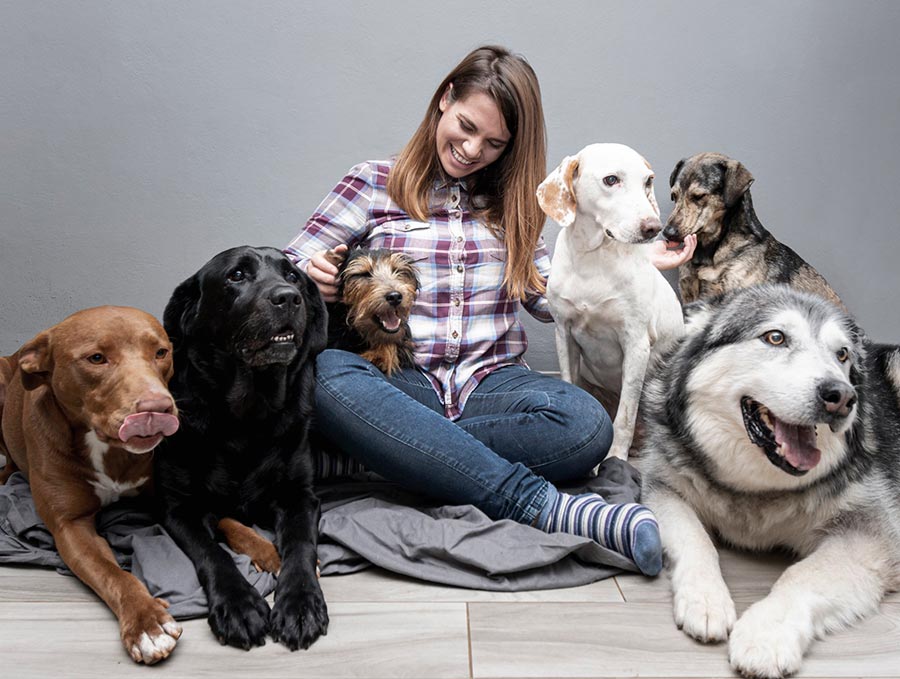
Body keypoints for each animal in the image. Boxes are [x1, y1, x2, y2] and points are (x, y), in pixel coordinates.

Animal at [0, 306, 183, 664]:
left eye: (161, 352)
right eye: (96, 358)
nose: (158, 408)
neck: (103, 446)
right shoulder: (71, 527)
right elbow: (115, 575)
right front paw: (147, 623)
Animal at [156, 247, 328, 652]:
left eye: (293, 276)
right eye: (236, 275)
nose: (289, 297)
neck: (248, 415)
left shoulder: (300, 495)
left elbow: (300, 544)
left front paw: (300, 603)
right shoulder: (180, 508)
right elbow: (213, 552)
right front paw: (239, 605)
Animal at [540, 143, 684, 462]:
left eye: (648, 181)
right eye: (611, 180)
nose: (654, 228)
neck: (592, 258)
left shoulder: (636, 345)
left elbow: (625, 417)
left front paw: (615, 457)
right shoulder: (563, 334)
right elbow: (569, 382)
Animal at [640, 286, 900, 679]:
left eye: (841, 354)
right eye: (775, 337)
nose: (842, 396)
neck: (761, 489)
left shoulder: (870, 532)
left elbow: (804, 574)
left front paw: (766, 634)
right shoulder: (661, 486)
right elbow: (696, 539)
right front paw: (706, 599)